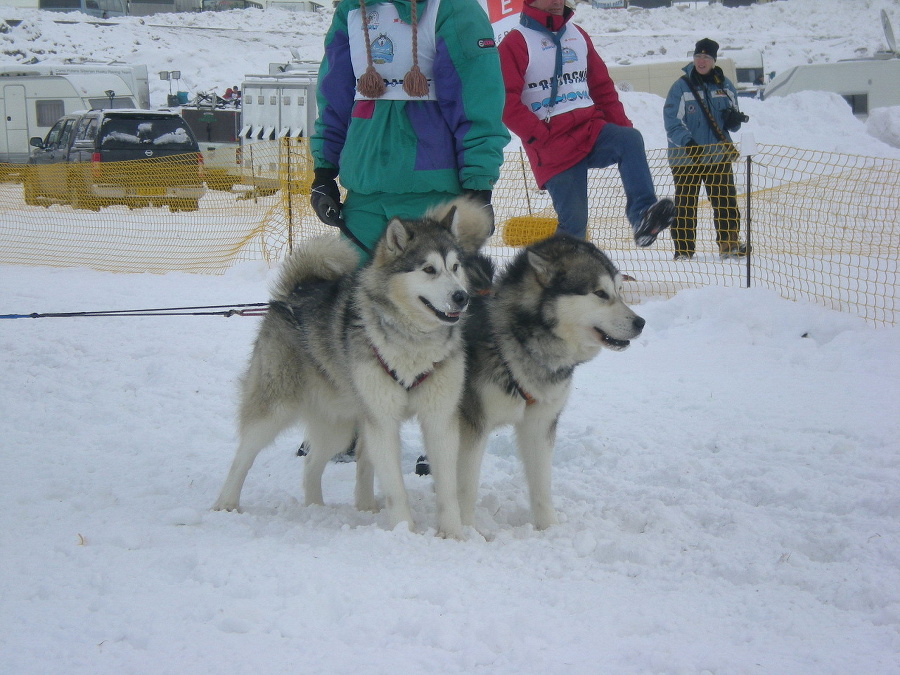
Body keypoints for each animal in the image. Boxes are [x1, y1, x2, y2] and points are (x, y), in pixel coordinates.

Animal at [213, 195, 492, 540]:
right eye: (429, 269)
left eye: (454, 268)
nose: (461, 296)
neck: (413, 342)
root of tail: (295, 292)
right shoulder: (382, 421)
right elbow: (395, 487)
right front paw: (404, 531)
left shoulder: (439, 418)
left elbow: (448, 487)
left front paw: (452, 533)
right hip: (275, 408)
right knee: (243, 456)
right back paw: (225, 503)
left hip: (339, 424)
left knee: (313, 462)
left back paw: (317, 507)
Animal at [458, 235, 648, 532]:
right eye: (600, 293)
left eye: (619, 290)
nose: (641, 322)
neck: (513, 342)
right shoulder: (472, 425)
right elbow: (467, 486)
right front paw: (466, 532)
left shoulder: (540, 423)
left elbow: (541, 484)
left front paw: (549, 528)